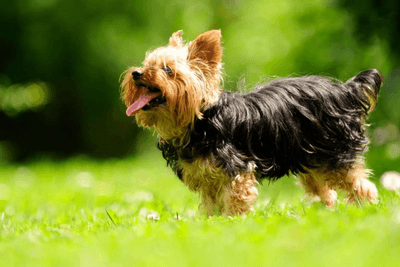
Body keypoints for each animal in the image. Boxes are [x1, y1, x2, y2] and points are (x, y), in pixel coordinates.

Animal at [120, 30, 382, 217]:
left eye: (167, 70)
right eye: (147, 64)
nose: (136, 73)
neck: (198, 121)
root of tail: (345, 90)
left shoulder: (237, 170)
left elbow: (236, 201)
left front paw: (233, 223)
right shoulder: (207, 179)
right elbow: (211, 206)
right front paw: (210, 224)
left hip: (335, 153)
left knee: (362, 185)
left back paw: (368, 210)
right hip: (310, 161)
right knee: (326, 193)